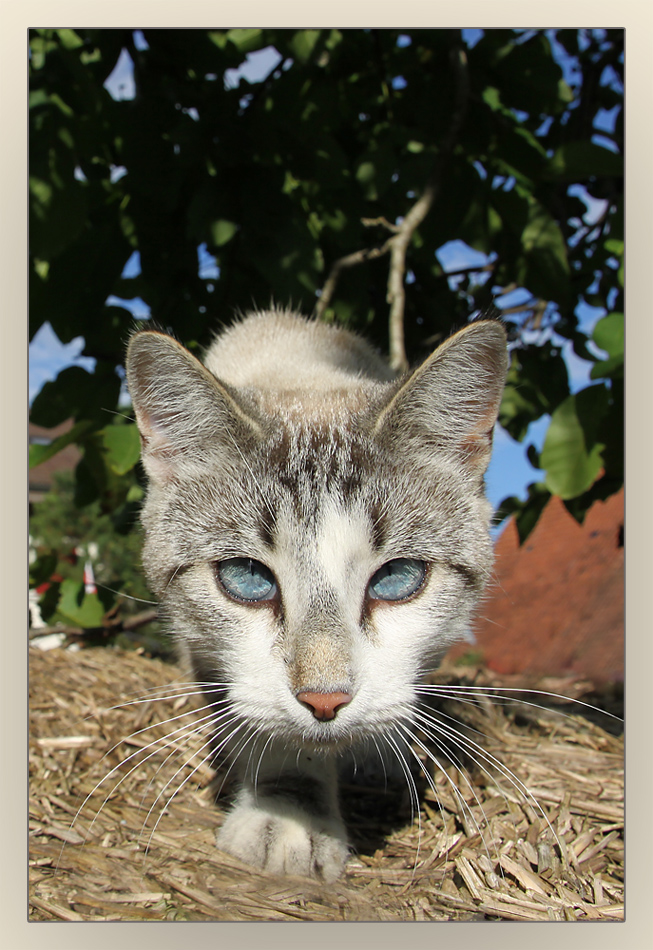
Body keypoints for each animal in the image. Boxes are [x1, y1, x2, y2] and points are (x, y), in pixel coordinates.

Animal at [125, 308, 506, 880]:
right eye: (247, 578)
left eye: (398, 578)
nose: (325, 701)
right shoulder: (217, 658)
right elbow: (273, 730)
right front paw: (289, 814)